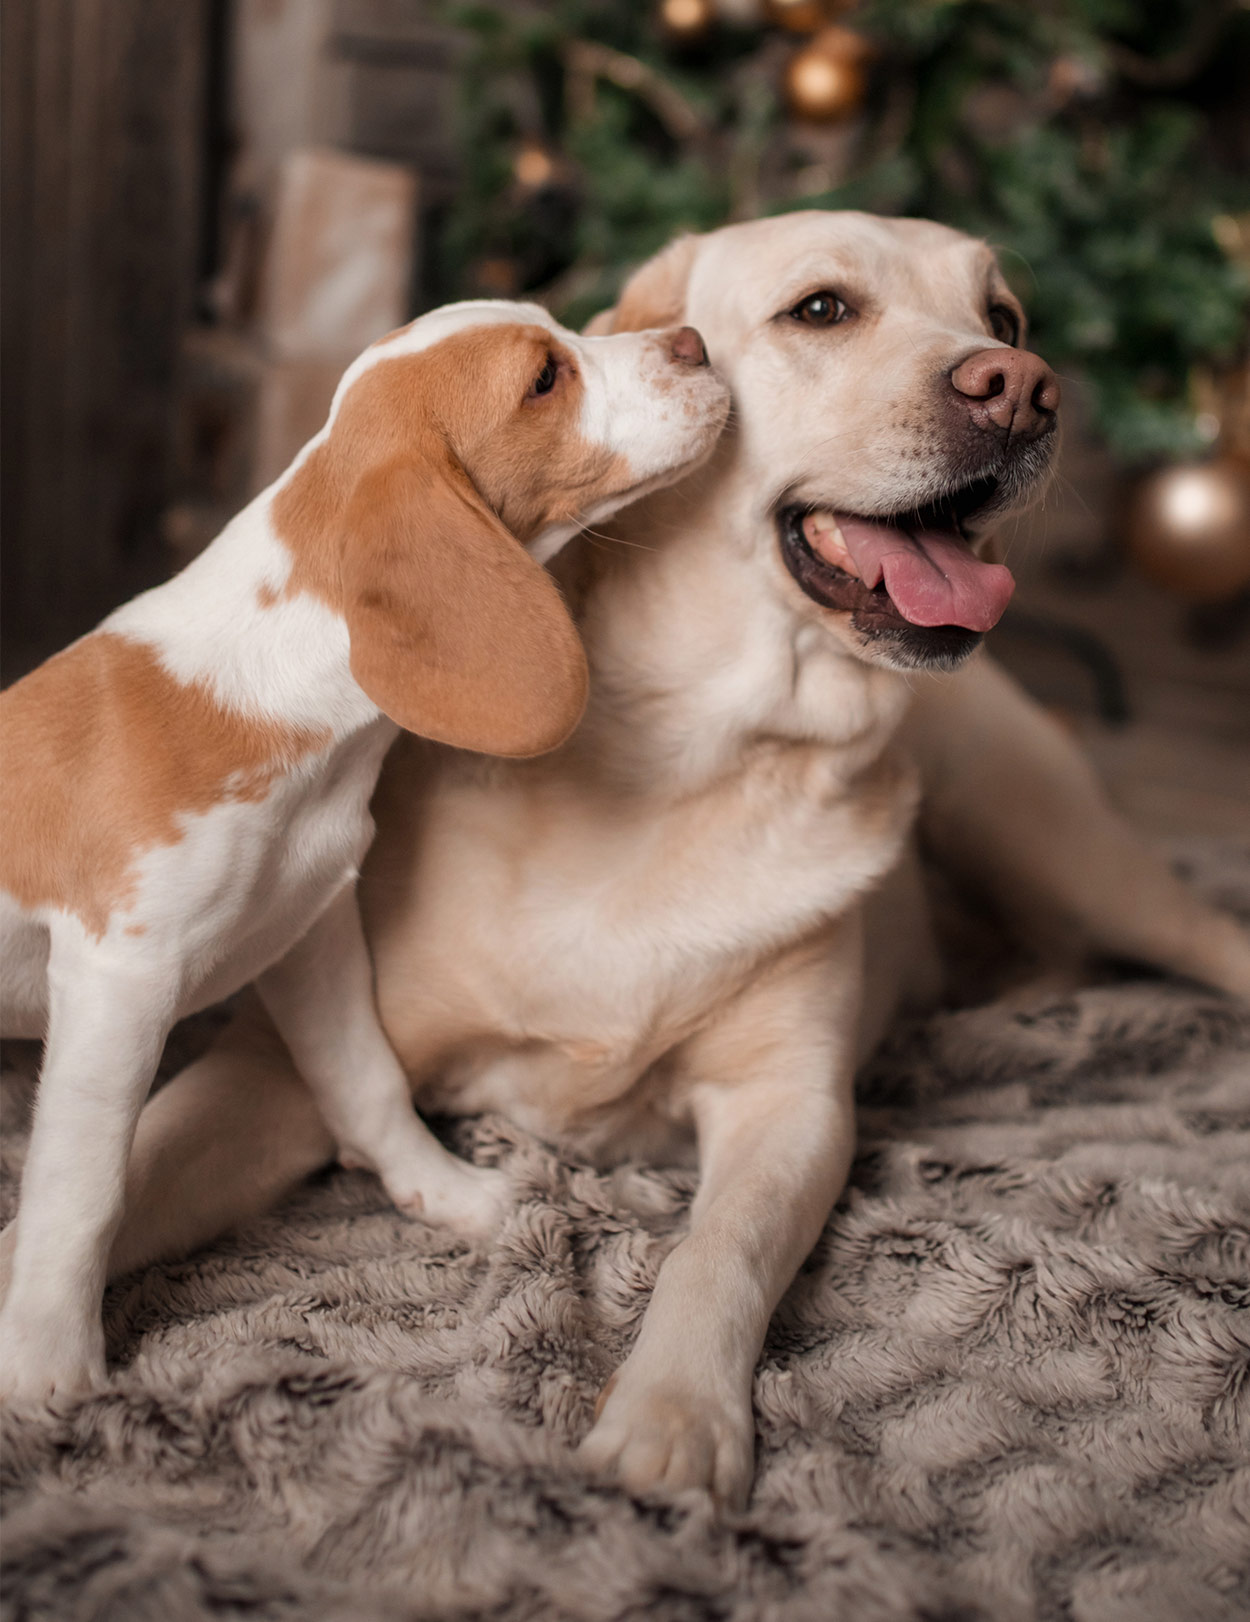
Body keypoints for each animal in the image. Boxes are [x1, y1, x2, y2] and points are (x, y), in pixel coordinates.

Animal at [0, 298, 729, 1401]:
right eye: (544, 378)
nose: (692, 340)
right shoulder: (119, 980)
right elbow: (83, 1183)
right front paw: (46, 1363)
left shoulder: (311, 932)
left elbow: (367, 1078)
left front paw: (448, 1192)